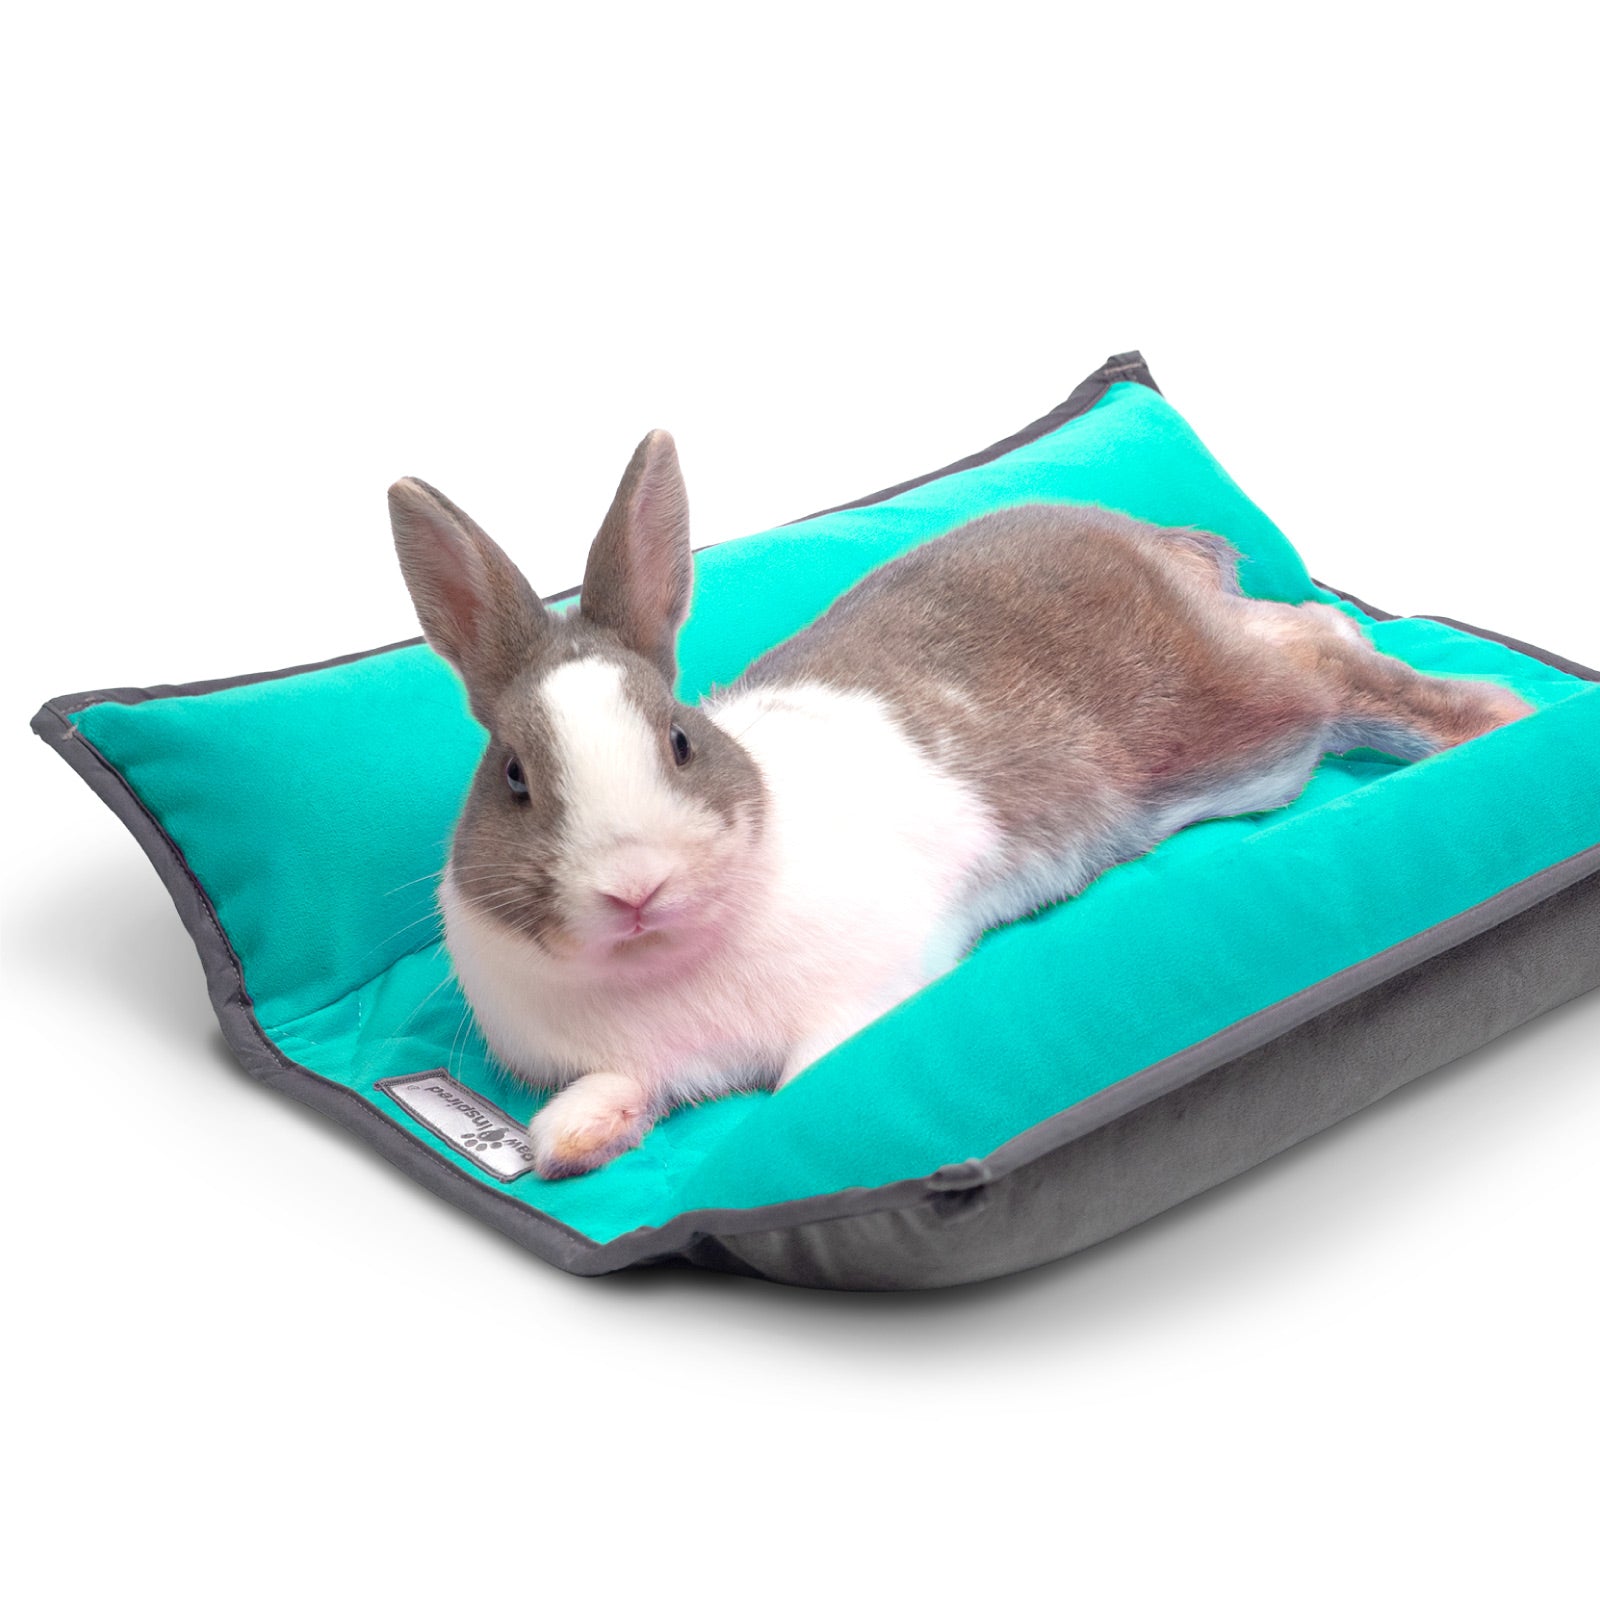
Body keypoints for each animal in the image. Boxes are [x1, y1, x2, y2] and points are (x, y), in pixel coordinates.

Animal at [388, 432, 1531, 1178]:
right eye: (513, 777)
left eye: (678, 739)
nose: (635, 886)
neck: (663, 964)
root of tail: (1144, 541)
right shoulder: (626, 1060)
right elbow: (596, 1102)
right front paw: (572, 1144)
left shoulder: (868, 991)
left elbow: (805, 1083)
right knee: (1312, 629)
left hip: (1251, 739)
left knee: (1331, 668)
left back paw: (1497, 717)